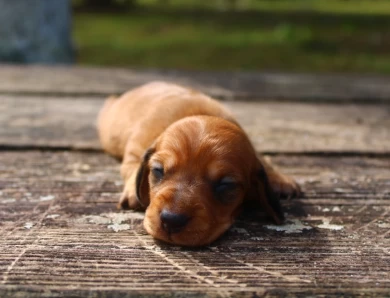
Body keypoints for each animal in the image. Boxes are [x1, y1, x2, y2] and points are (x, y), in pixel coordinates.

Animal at [97, 81, 302, 247]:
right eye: (157, 171)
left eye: (226, 184)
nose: (171, 221)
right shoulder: (134, 151)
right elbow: (132, 166)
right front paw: (133, 191)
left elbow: (262, 160)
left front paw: (279, 179)